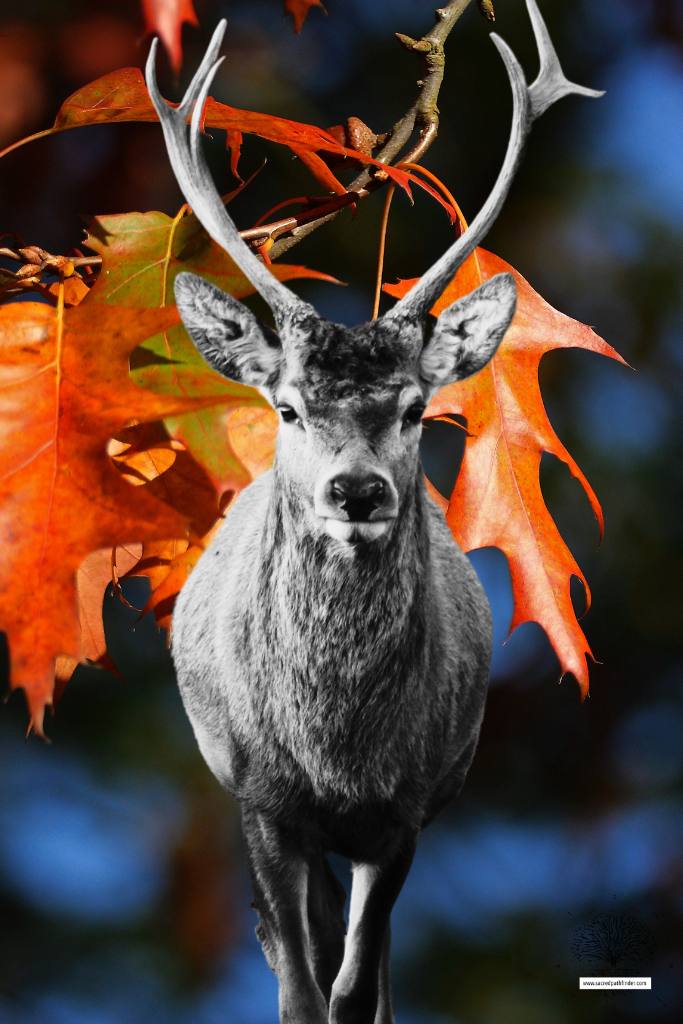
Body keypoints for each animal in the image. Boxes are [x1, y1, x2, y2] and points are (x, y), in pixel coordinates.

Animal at [147, 4, 602, 1019]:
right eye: (285, 408)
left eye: (414, 410)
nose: (356, 491)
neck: (336, 748)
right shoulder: (263, 798)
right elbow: (301, 989)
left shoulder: (406, 809)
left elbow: (357, 992)